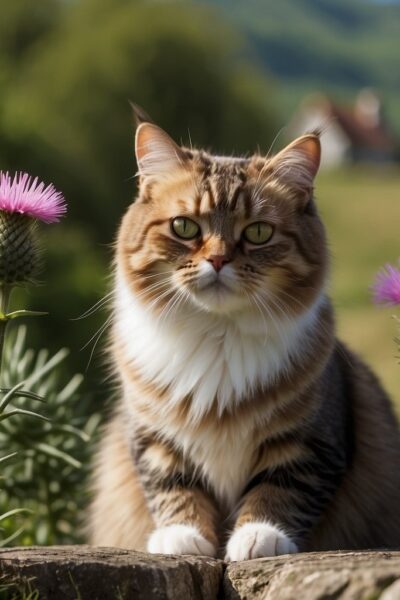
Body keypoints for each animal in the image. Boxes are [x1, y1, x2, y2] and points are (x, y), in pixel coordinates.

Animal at [89, 115, 400, 560]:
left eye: (257, 233)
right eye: (184, 227)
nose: (218, 259)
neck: (217, 336)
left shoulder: (311, 442)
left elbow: (281, 489)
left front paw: (259, 537)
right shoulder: (153, 439)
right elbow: (172, 486)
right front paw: (183, 537)